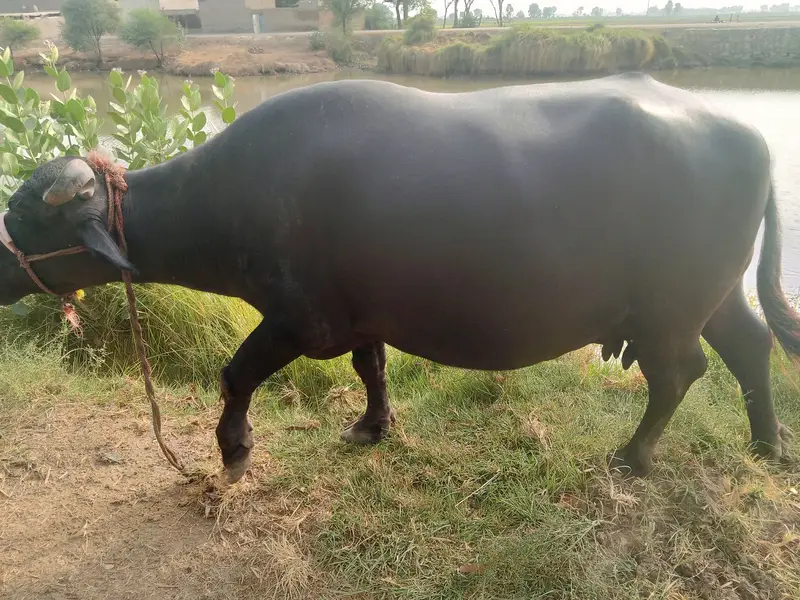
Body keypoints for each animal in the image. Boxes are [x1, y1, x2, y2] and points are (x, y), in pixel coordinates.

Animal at [1, 73, 797, 482]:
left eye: (26, 218)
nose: (1, 262)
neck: (233, 194)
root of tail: (749, 136)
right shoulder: (363, 316)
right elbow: (372, 368)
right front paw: (371, 427)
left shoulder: (299, 319)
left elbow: (235, 374)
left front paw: (234, 450)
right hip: (713, 294)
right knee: (750, 345)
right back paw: (766, 443)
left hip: (670, 310)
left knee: (680, 372)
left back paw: (633, 457)